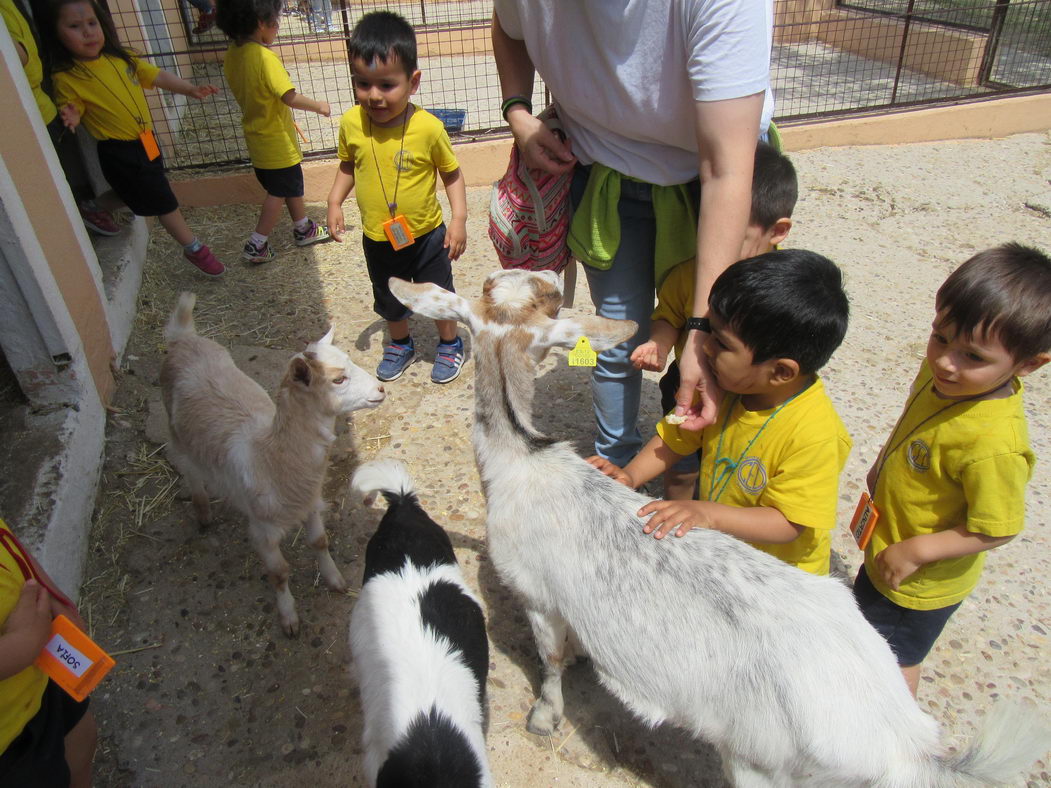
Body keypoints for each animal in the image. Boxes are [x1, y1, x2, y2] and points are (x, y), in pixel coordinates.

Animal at [157, 294, 384, 638]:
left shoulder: (310, 504)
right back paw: (202, 512)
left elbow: (319, 541)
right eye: (338, 379)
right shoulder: (262, 530)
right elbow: (279, 572)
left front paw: (335, 581)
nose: (381, 389)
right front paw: (289, 617)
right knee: (190, 470)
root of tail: (183, 337)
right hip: (175, 433)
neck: (272, 457)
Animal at [388, 271, 1051, 788]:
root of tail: (899, 741)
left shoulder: (537, 595)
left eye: (550, 296)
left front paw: (543, 717)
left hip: (762, 765)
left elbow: (549, 663)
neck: (521, 456)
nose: (552, 269)